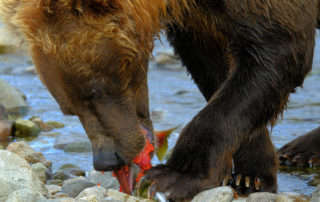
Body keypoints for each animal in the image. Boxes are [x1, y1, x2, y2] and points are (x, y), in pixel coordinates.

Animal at [0, 0, 318, 200]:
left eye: (96, 90)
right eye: (69, 108)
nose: (106, 159)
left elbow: (277, 46)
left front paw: (173, 175)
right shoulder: (199, 19)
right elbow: (215, 64)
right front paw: (251, 174)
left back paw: (303, 150)